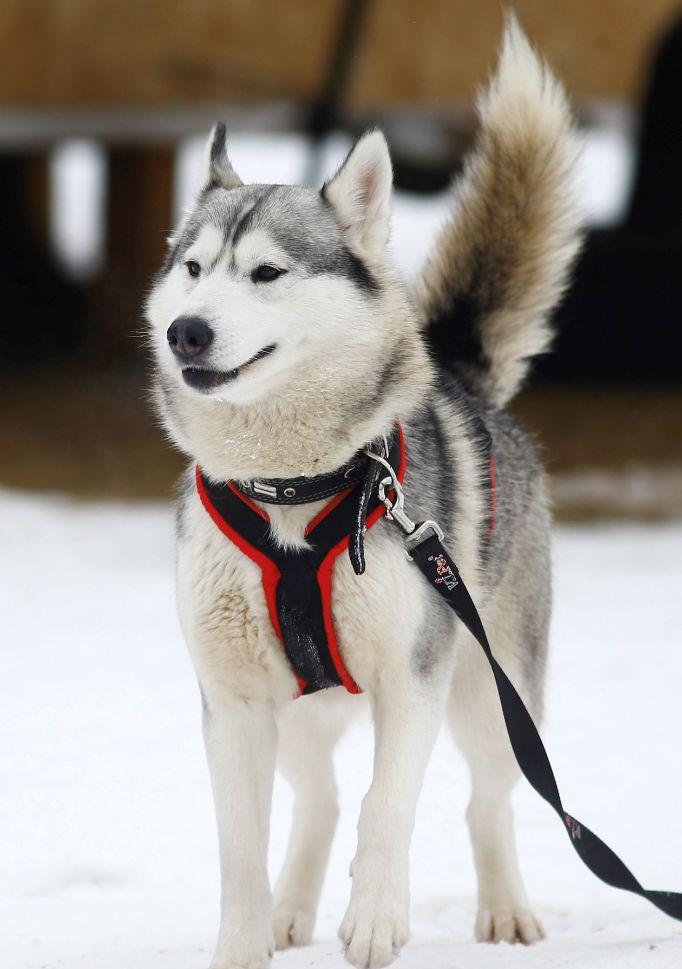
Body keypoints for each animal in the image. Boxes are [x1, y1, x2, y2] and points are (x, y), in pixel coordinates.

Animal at [145, 18, 580, 968]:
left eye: (266, 273)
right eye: (193, 268)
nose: (185, 330)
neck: (290, 487)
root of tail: (462, 378)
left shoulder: (412, 677)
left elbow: (390, 804)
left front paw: (377, 916)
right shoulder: (234, 702)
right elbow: (241, 844)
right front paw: (244, 941)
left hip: (494, 690)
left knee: (487, 798)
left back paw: (506, 908)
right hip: (302, 713)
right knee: (319, 798)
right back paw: (288, 910)